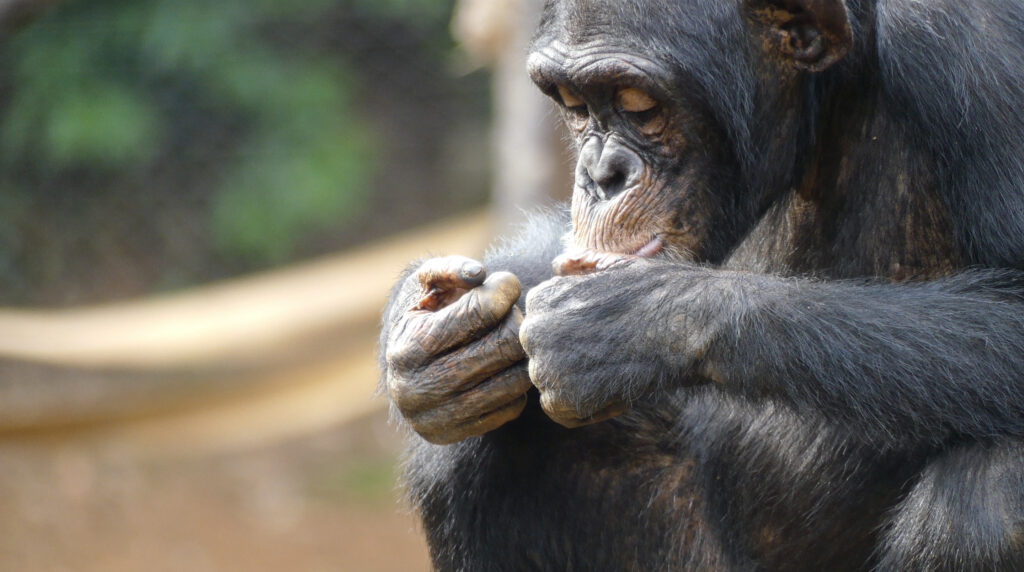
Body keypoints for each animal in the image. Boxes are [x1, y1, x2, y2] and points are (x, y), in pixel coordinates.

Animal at [376, 0, 1024, 568]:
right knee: (464, 455)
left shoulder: (979, 51)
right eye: (577, 106)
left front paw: (625, 323)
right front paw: (424, 331)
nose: (600, 174)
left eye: (639, 106)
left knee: (988, 503)